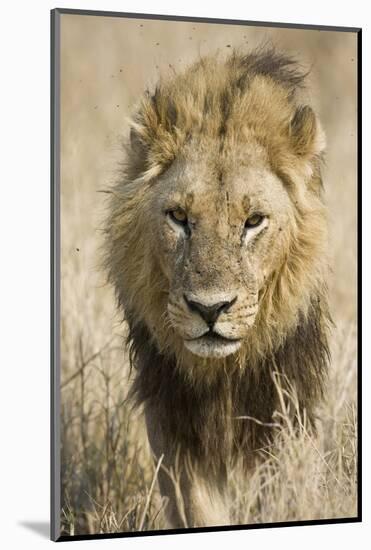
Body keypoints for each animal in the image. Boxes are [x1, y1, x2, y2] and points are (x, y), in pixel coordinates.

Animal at [104, 47, 332, 532]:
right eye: (179, 217)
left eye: (253, 221)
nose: (209, 309)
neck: (222, 374)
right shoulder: (173, 421)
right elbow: (198, 507)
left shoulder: (286, 407)